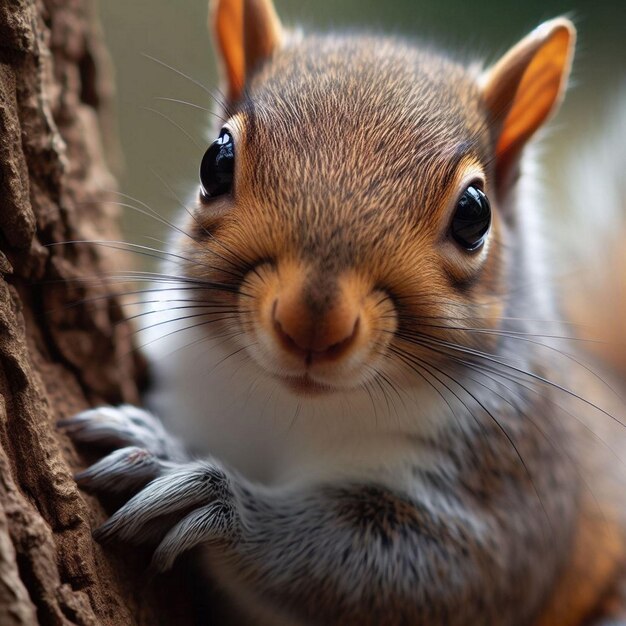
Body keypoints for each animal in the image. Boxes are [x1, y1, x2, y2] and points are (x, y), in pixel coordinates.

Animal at [61, 1, 624, 624]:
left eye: (474, 214)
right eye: (215, 161)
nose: (311, 325)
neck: (290, 408)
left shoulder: (512, 486)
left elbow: (430, 571)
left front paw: (193, 483)